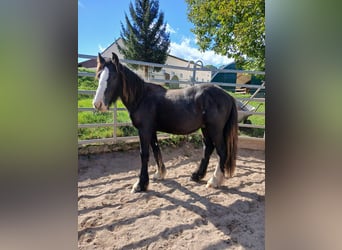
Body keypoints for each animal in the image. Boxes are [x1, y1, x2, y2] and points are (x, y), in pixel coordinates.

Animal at [93, 52, 238, 193]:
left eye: (113, 77)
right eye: (99, 76)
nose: (97, 104)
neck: (142, 97)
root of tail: (228, 96)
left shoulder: (144, 130)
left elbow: (144, 154)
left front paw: (140, 184)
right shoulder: (151, 130)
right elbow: (156, 149)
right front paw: (159, 174)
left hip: (215, 129)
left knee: (221, 151)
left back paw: (214, 181)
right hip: (205, 128)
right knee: (208, 148)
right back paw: (197, 175)